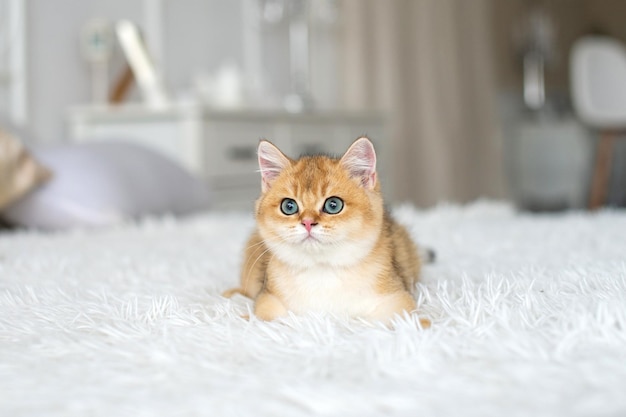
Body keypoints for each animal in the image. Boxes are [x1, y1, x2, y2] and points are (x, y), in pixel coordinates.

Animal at [223, 136, 428, 324]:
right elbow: (264, 316)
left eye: (333, 205)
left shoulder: (398, 299)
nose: (307, 223)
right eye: (289, 206)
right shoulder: (267, 299)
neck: (322, 270)